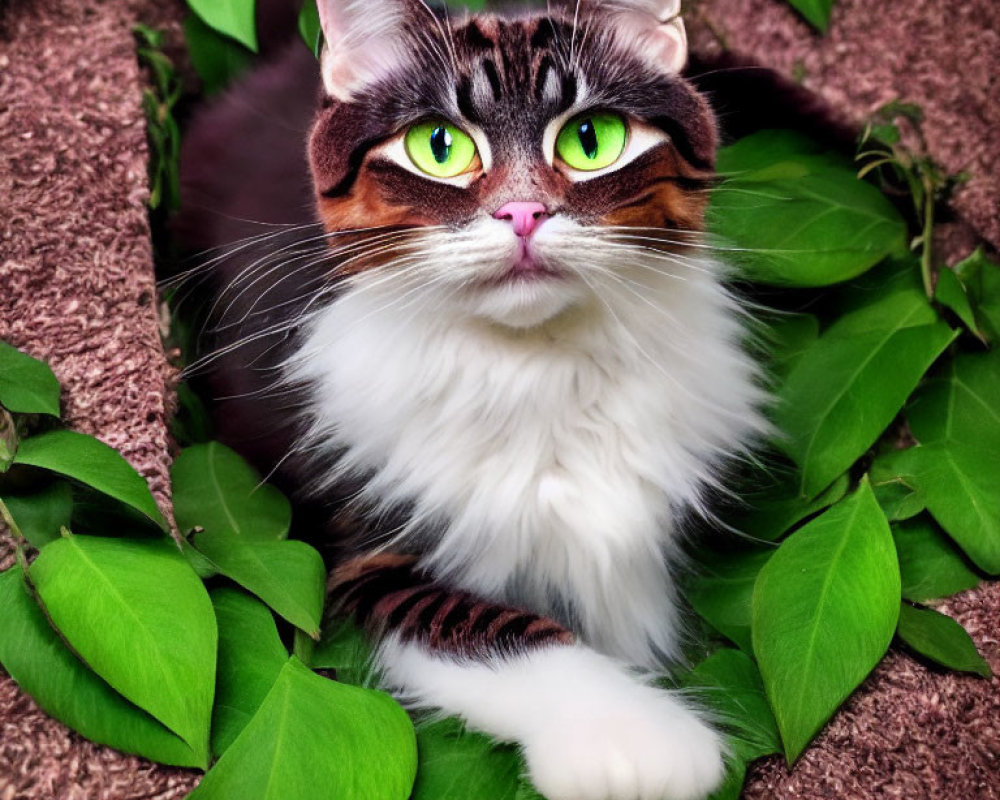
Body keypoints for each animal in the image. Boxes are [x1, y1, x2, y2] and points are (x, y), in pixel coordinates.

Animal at [176, 3, 764, 796]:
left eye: (591, 140)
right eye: (439, 147)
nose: (523, 213)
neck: (536, 365)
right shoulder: (366, 554)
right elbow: (495, 627)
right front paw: (635, 740)